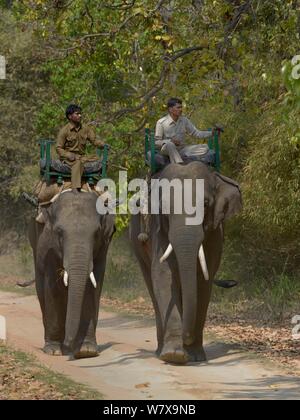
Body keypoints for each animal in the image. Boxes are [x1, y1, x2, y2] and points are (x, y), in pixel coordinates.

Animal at [28, 190, 115, 358]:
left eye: (96, 233)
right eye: (59, 232)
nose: (69, 344)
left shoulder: (103, 248)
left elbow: (92, 289)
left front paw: (86, 350)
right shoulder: (49, 246)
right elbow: (53, 289)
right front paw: (54, 350)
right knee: (42, 290)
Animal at [130, 162, 243, 364]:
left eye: (205, 204)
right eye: (164, 208)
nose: (186, 337)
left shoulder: (214, 233)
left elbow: (203, 281)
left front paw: (195, 356)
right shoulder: (159, 230)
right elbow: (164, 276)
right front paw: (174, 355)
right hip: (136, 242)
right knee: (151, 284)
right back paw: (160, 351)